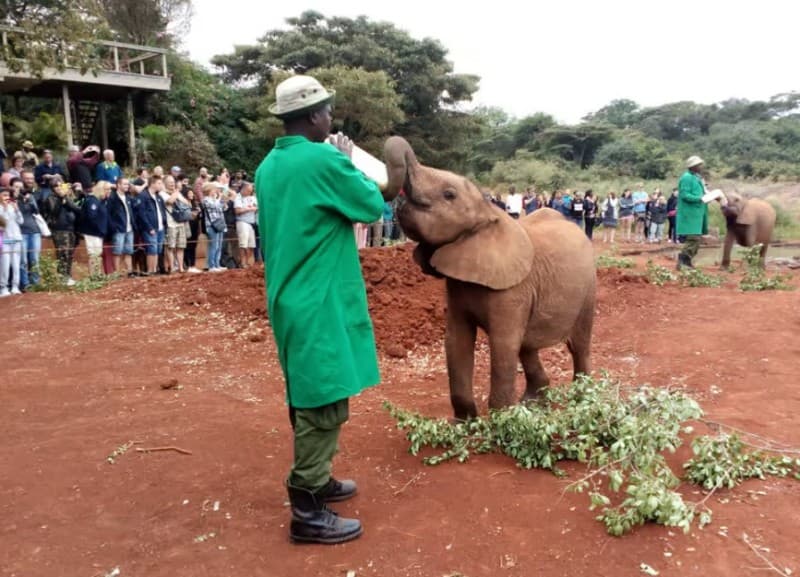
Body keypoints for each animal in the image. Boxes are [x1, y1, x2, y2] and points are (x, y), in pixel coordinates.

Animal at [382, 136, 596, 420]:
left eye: (449, 195)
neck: (489, 212)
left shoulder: (514, 290)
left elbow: (503, 346)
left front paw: (501, 421)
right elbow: (457, 341)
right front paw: (464, 422)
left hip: (589, 289)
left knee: (578, 345)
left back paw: (582, 400)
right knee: (527, 346)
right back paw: (533, 404)